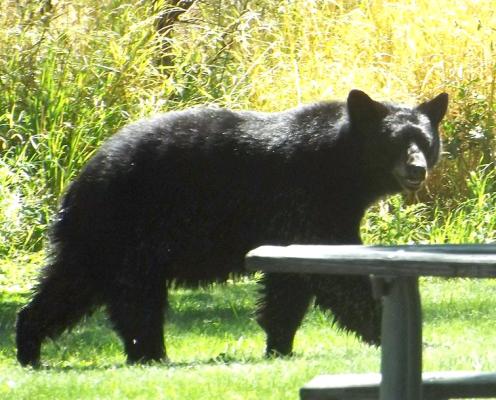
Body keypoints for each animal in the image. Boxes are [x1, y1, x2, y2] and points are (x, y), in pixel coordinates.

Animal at [17, 90, 448, 366]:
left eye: (425, 140)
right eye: (394, 141)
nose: (416, 168)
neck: (342, 167)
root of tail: (81, 178)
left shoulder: (303, 217)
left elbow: (290, 282)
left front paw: (279, 345)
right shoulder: (307, 197)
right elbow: (335, 275)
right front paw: (401, 336)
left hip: (97, 237)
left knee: (69, 287)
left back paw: (29, 344)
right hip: (130, 226)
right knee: (134, 297)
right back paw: (150, 353)